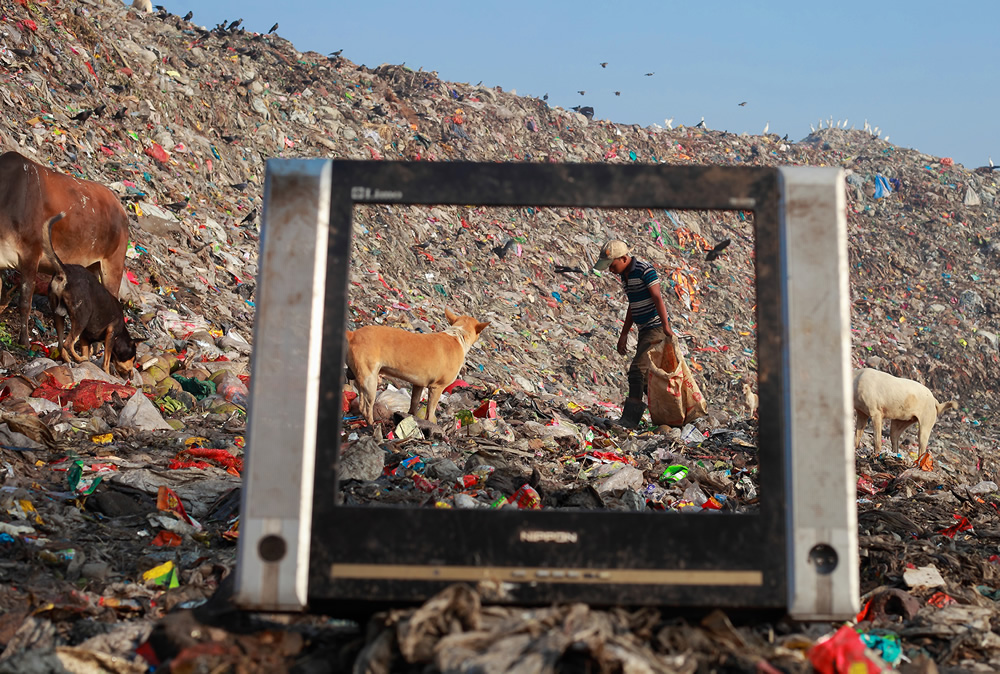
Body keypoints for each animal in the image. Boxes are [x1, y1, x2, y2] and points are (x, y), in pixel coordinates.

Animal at [0, 150, 129, 344]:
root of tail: (121, 209)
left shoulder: (30, 255)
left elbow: (25, 302)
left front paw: (24, 340)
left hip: (113, 265)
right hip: (92, 268)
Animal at [43, 213, 139, 376]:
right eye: (133, 358)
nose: (131, 376)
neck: (121, 333)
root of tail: (65, 271)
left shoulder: (85, 338)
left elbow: (87, 351)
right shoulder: (111, 333)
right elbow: (106, 359)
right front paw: (106, 372)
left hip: (58, 313)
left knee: (61, 345)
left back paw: (70, 361)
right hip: (82, 317)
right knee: (68, 343)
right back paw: (79, 359)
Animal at [346, 306, 490, 422]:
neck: (458, 335)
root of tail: (353, 334)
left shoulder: (418, 385)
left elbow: (414, 404)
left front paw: (412, 418)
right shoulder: (437, 388)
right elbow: (430, 413)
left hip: (355, 376)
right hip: (370, 380)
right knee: (366, 407)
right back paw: (373, 426)